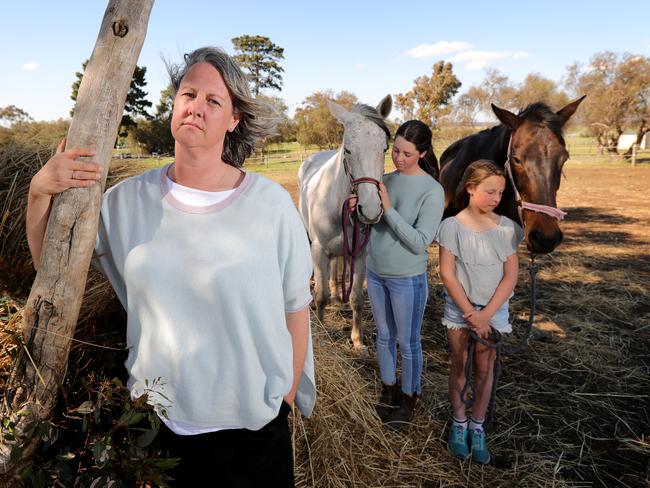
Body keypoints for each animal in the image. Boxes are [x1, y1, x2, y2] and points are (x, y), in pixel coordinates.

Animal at [298, 95, 390, 350]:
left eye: (384, 148)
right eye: (347, 150)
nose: (370, 210)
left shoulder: (359, 253)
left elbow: (357, 299)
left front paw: (357, 341)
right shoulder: (318, 250)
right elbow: (320, 296)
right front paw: (321, 333)